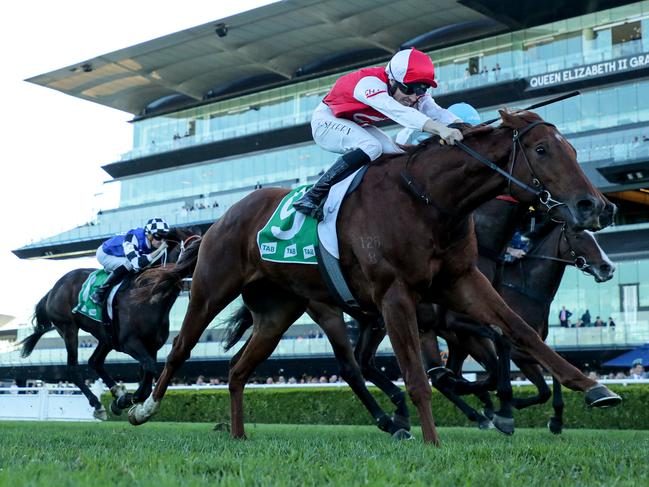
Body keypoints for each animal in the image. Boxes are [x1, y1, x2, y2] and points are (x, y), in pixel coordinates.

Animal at [19, 229, 199, 420]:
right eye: (193, 250)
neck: (148, 297)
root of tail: (54, 288)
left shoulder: (152, 346)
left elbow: (147, 377)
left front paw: (123, 400)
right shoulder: (130, 343)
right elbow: (149, 369)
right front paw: (125, 400)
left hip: (106, 336)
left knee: (94, 362)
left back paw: (116, 391)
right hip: (68, 328)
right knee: (73, 369)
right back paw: (98, 404)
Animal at [130, 111, 616, 446]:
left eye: (574, 150)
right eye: (542, 150)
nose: (594, 205)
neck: (428, 200)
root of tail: (222, 217)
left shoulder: (462, 283)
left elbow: (519, 336)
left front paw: (593, 389)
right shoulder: (397, 296)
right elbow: (421, 376)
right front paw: (435, 441)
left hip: (277, 312)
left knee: (238, 370)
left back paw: (238, 433)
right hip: (216, 290)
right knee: (180, 348)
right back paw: (142, 408)